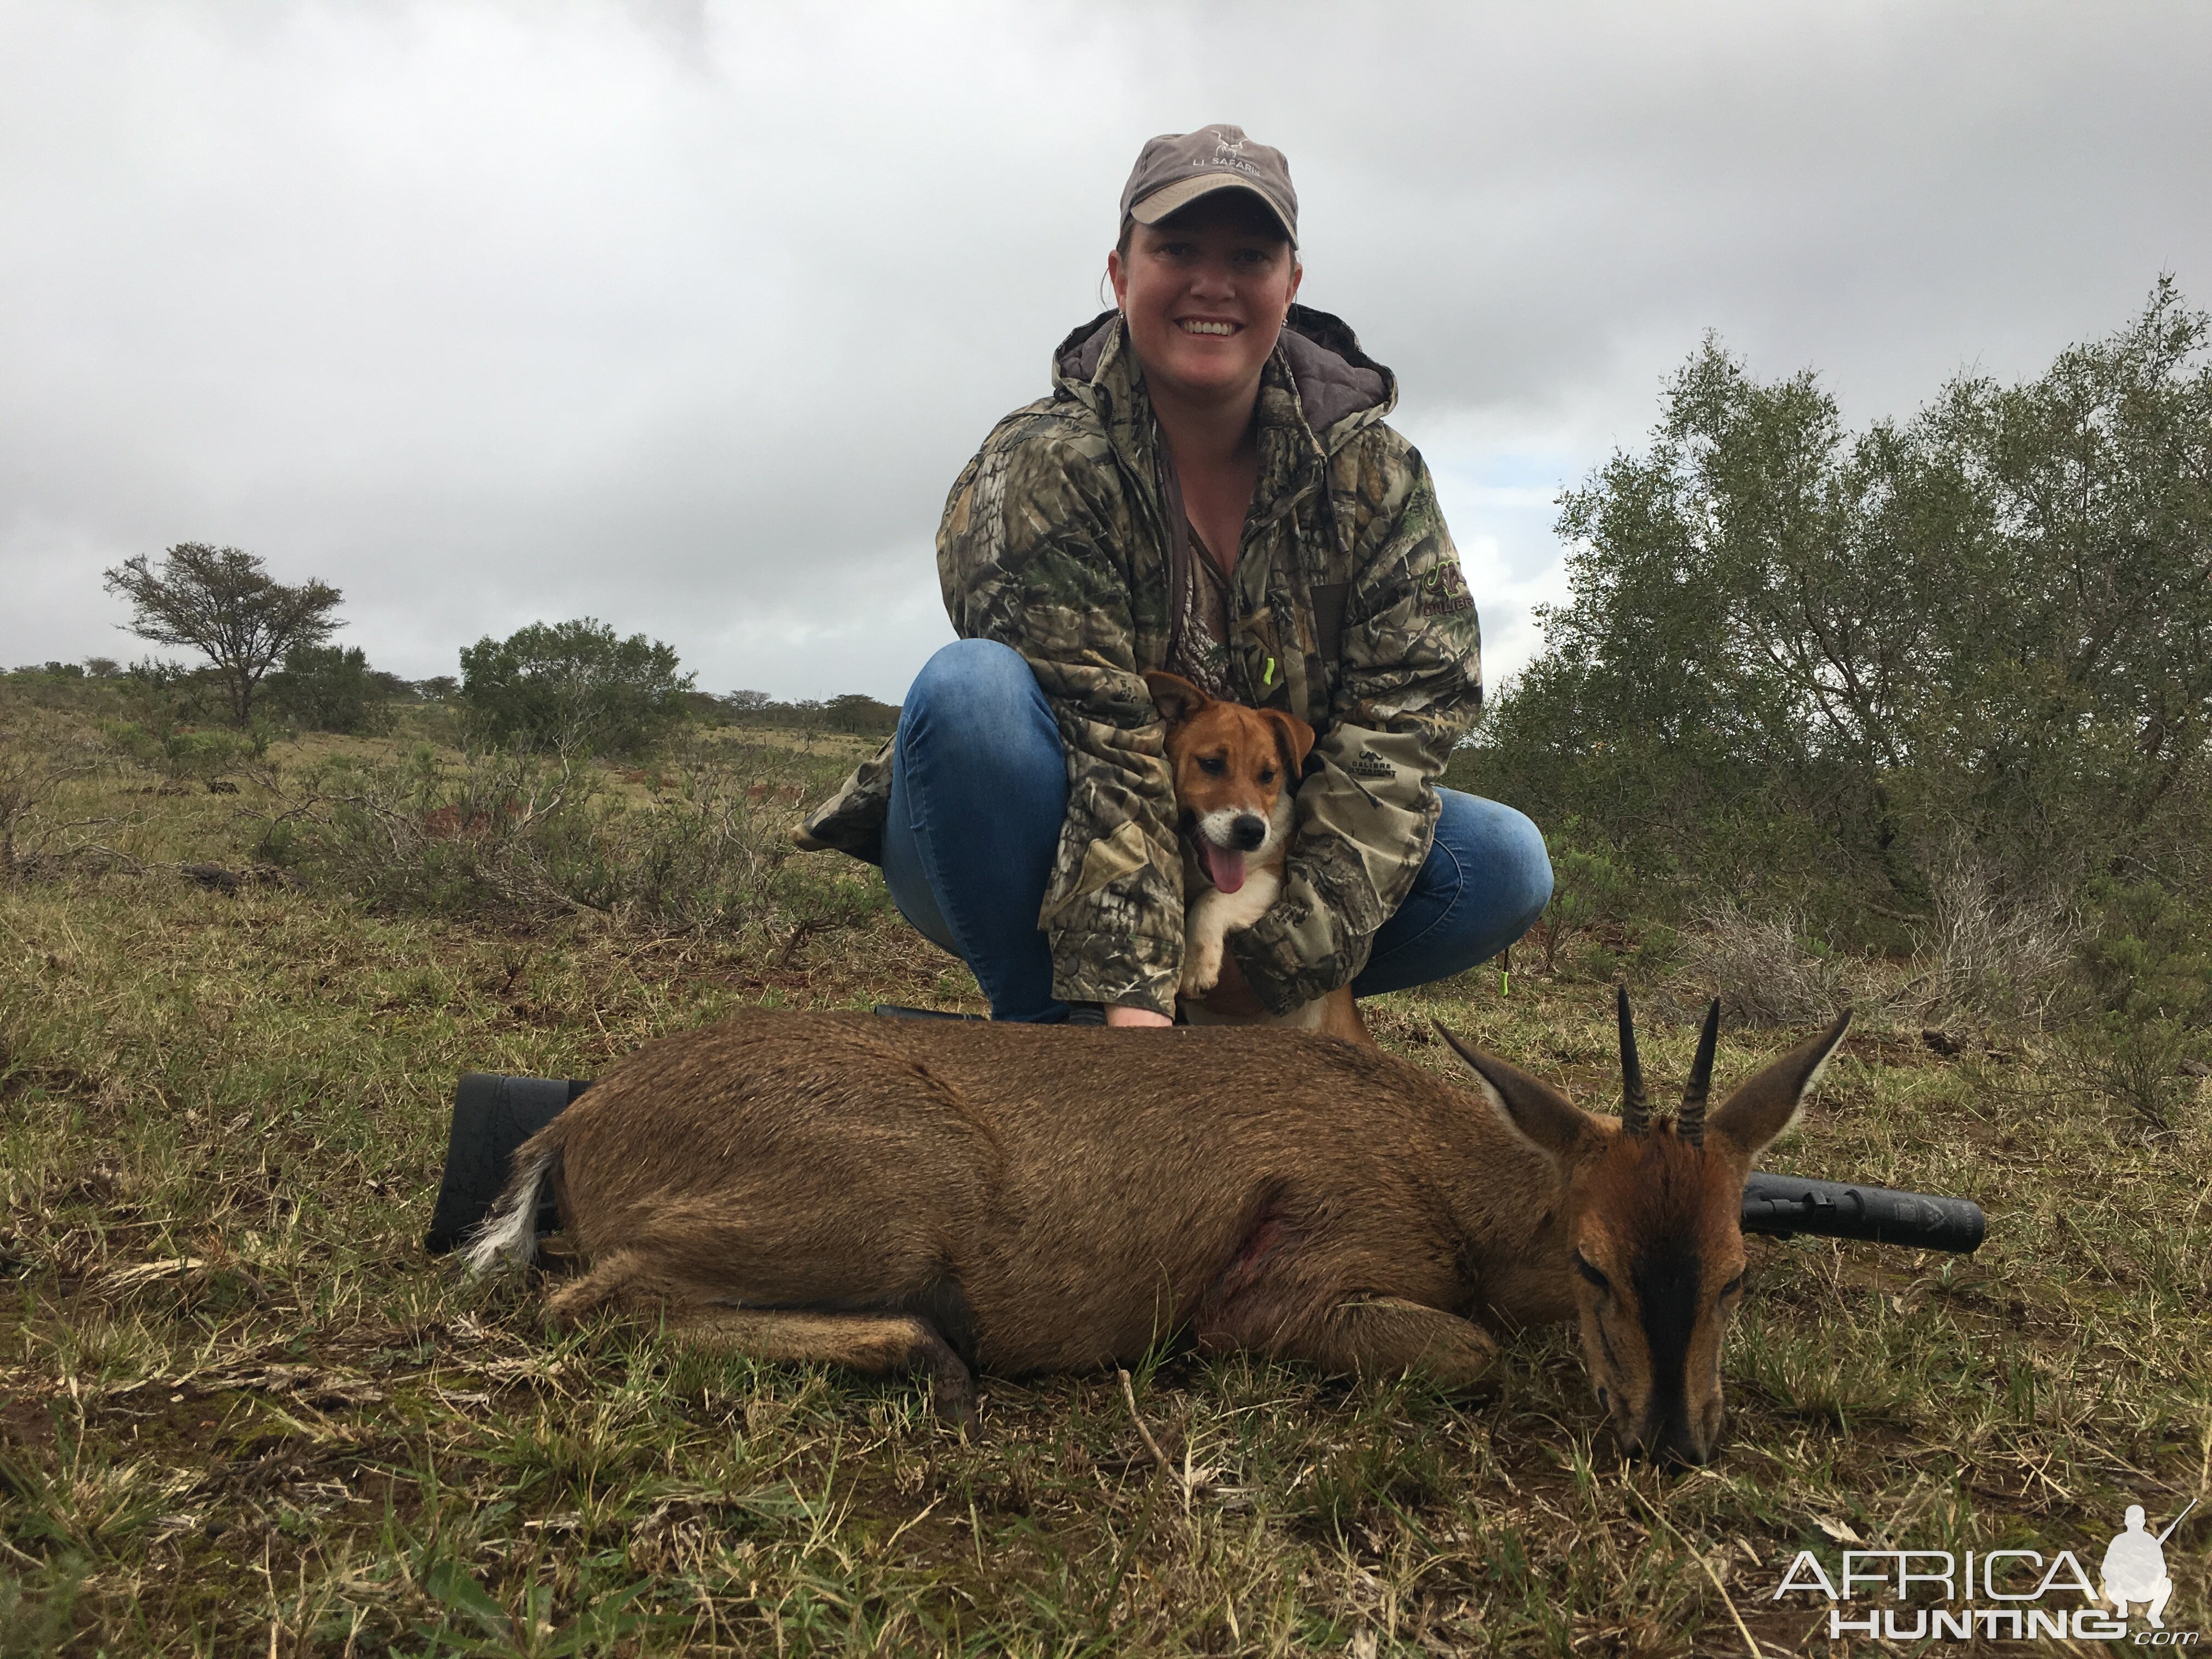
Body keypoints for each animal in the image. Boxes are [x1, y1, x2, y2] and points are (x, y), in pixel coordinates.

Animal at [471, 995, 1849, 1460]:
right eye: (1592, 1263)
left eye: (1736, 1272)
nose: (1674, 1443)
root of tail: (578, 1119)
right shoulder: (1273, 1296)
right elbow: (1475, 1352)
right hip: (898, 1214)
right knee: (587, 1301)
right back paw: (939, 1366)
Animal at [1141, 672, 1362, 1040]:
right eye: (1212, 764)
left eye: (1268, 776)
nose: (1252, 831)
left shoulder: (1275, 877)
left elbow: (1215, 900)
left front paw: (1197, 967)